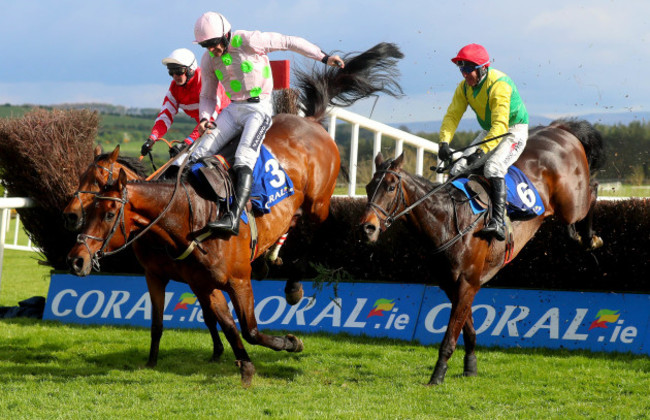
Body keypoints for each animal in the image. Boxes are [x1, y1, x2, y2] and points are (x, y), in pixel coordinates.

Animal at [63, 42, 402, 388]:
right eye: (90, 201)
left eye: (108, 212)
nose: (76, 258)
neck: (191, 216)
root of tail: (311, 120)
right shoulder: (193, 281)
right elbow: (218, 324)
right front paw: (240, 364)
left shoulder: (238, 280)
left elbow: (249, 330)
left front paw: (289, 343)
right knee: (290, 223)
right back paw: (272, 257)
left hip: (317, 201)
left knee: (312, 232)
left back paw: (293, 286)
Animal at [360, 117, 604, 384]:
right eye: (368, 186)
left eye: (391, 187)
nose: (368, 227)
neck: (449, 219)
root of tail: (559, 128)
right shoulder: (450, 283)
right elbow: (467, 328)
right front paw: (470, 366)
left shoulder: (467, 282)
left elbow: (451, 334)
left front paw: (437, 375)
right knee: (573, 220)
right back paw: (577, 234)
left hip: (572, 201)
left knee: (593, 190)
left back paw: (591, 238)